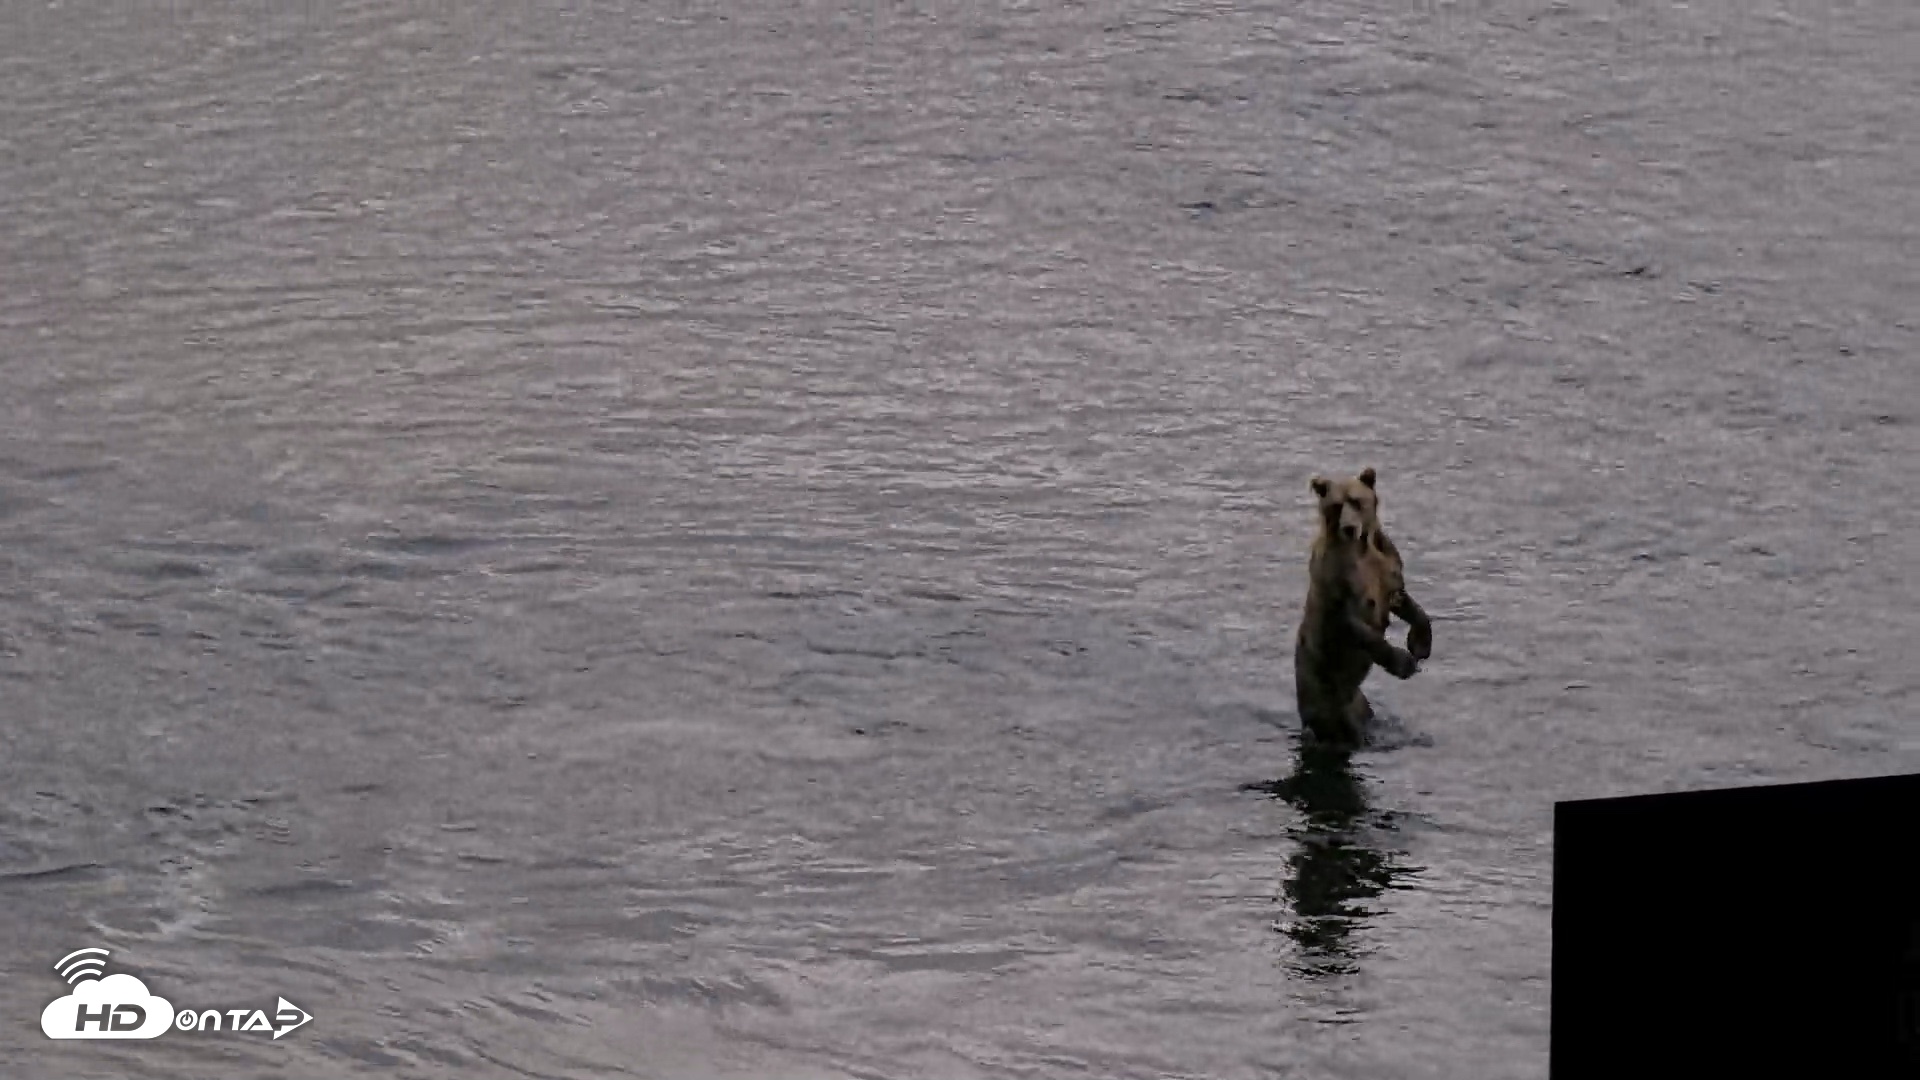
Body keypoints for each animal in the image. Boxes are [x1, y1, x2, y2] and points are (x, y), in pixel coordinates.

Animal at [1293, 467, 1433, 748]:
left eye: (1357, 501)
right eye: (1336, 505)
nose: (1349, 528)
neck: (1361, 546)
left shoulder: (1387, 565)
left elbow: (1406, 602)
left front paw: (1420, 644)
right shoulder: (1339, 579)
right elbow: (1355, 624)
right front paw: (1402, 662)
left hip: (1359, 705)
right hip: (1325, 698)